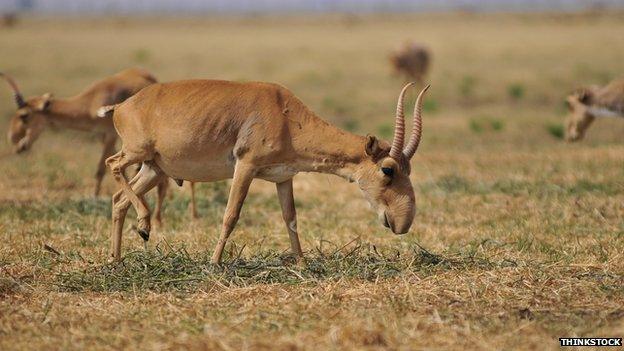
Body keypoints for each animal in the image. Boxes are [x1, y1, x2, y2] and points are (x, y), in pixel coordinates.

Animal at [1, 69, 197, 226]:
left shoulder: (109, 136)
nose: (14, 141)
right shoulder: (103, 138)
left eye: (24, 115)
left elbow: (100, 170)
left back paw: (163, 219)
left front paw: (95, 201)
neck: (91, 101)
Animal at [98, 77, 428, 264]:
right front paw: (214, 263)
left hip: (154, 169)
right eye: (388, 169)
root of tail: (122, 106)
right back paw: (143, 225)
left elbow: (290, 219)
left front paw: (302, 264)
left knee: (118, 200)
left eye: (409, 168)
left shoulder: (283, 178)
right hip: (137, 154)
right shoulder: (246, 167)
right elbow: (231, 215)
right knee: (113, 165)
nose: (402, 223)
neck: (285, 113)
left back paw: (117, 260)